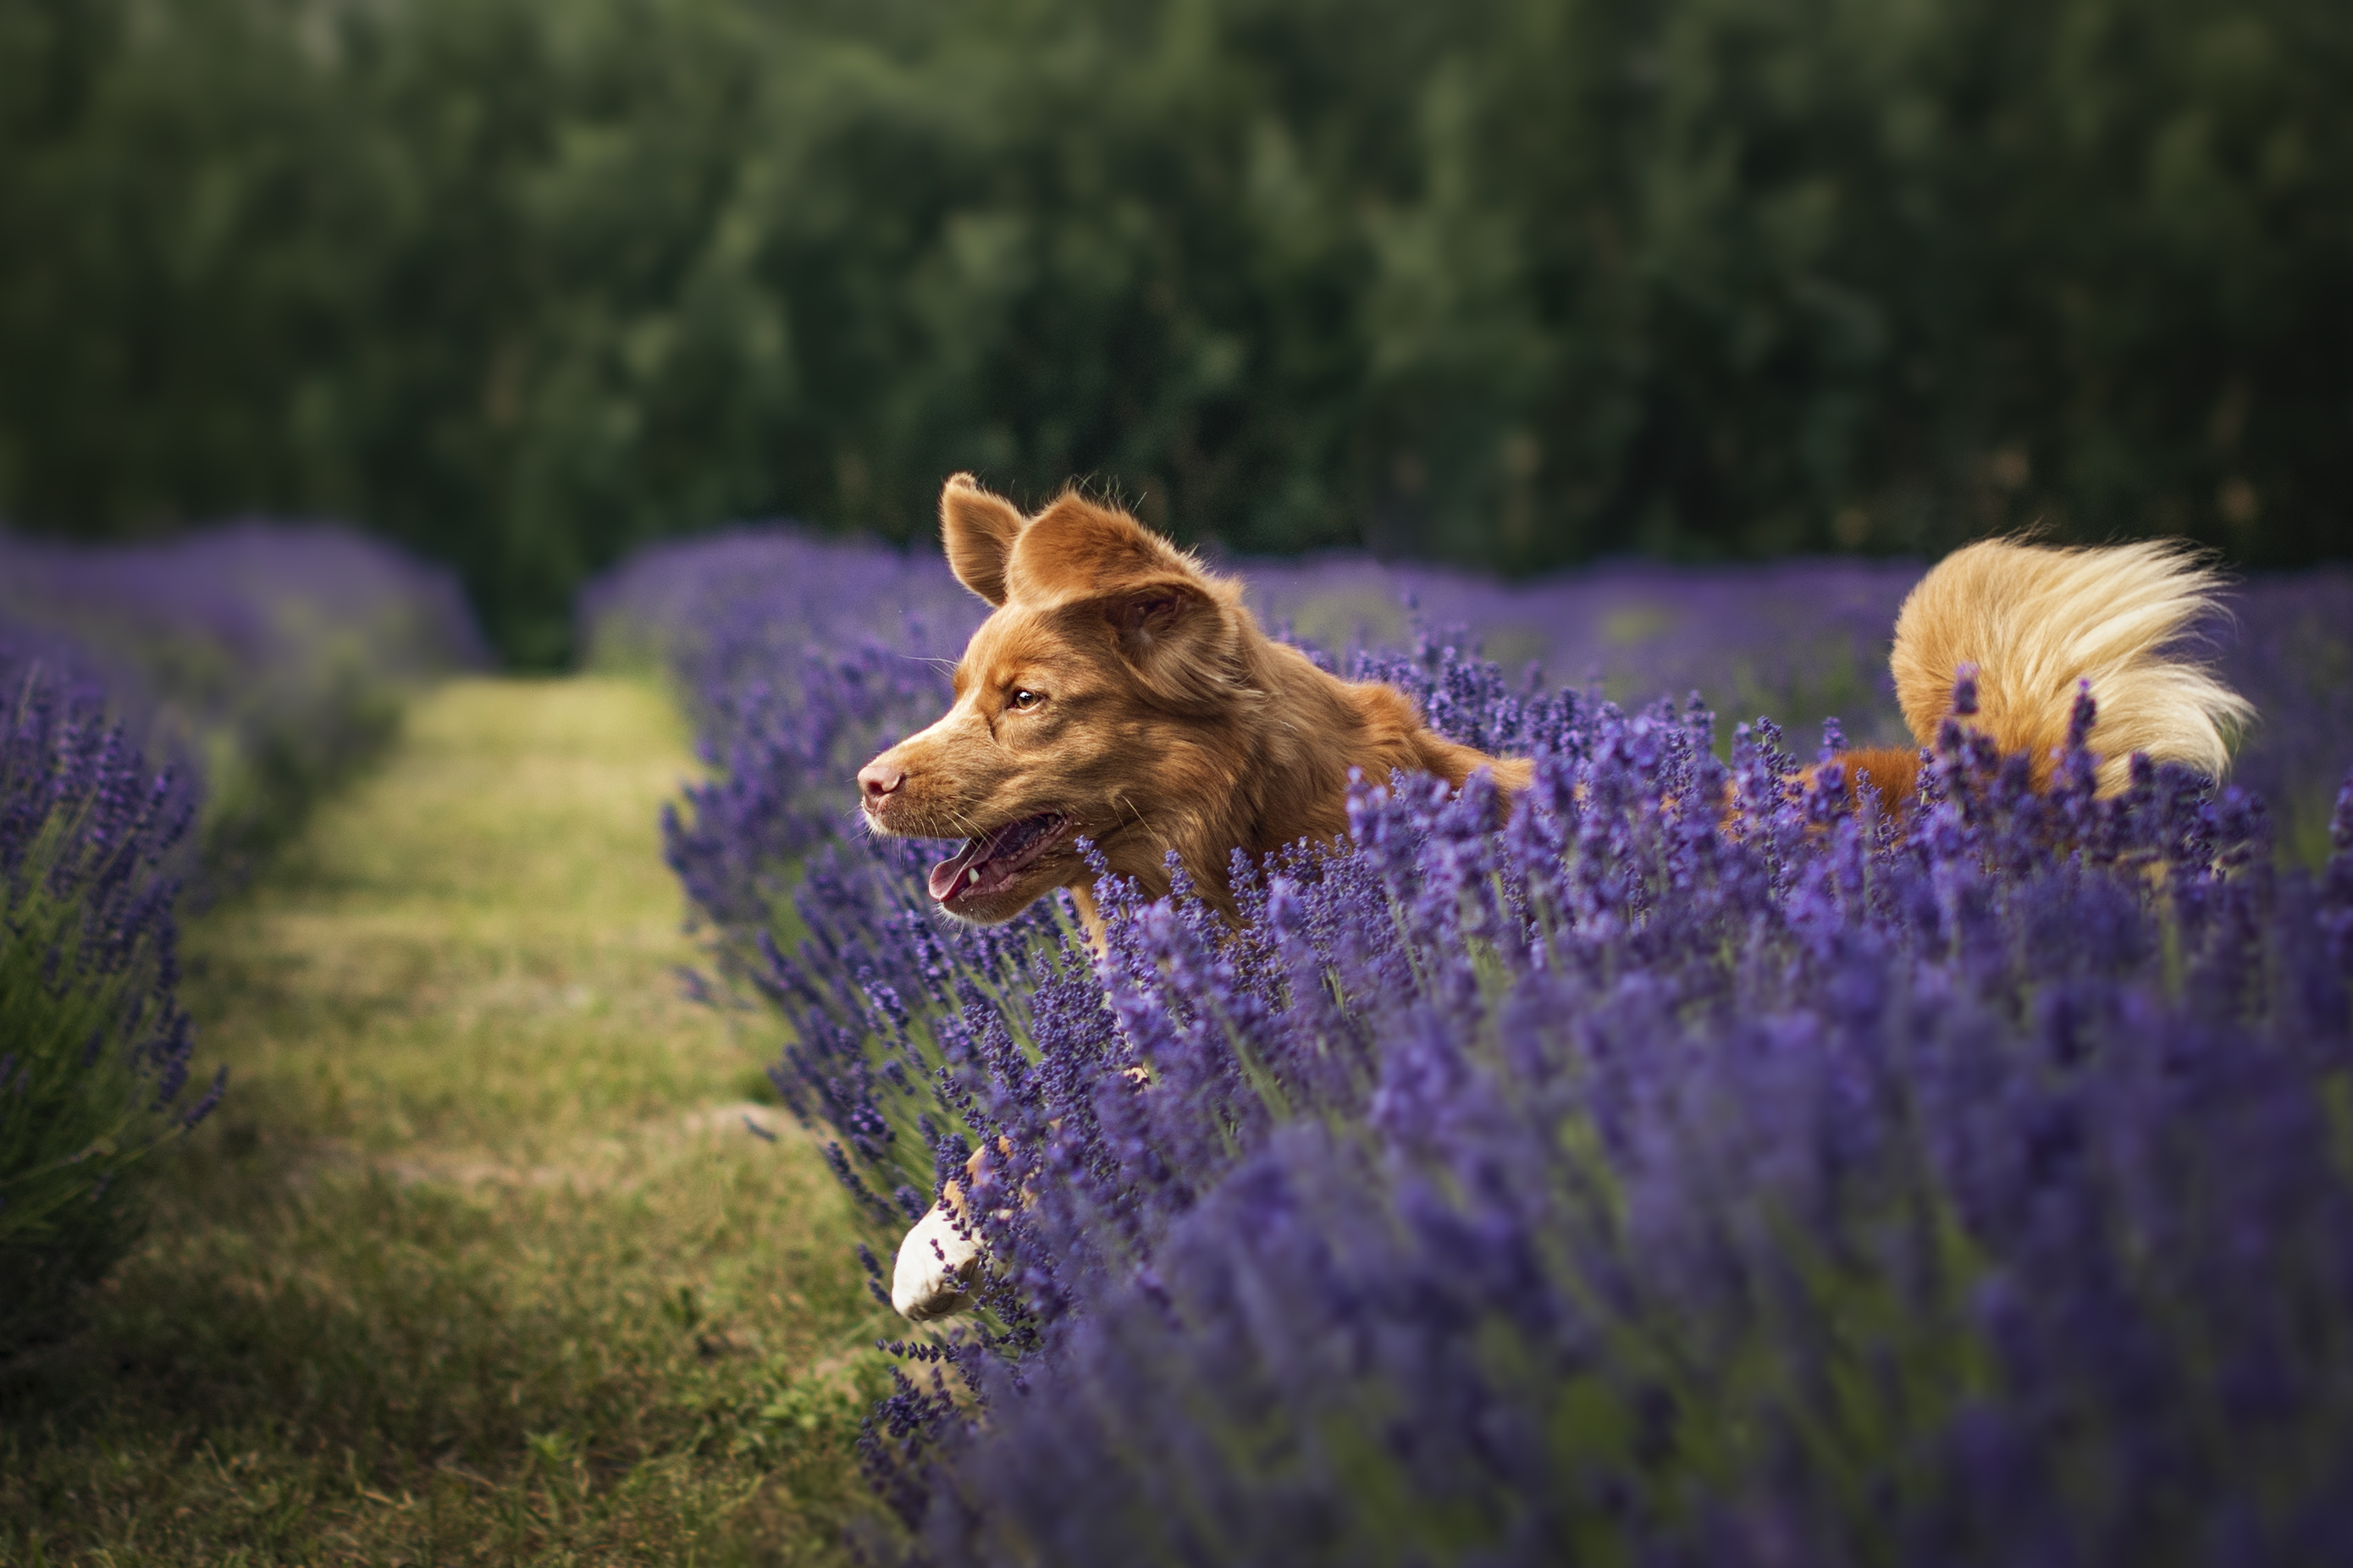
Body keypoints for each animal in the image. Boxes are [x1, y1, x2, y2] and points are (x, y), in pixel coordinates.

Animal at [861, 475, 2240, 1318]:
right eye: (961, 689)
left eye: (1026, 700)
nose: (868, 783)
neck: (1249, 832)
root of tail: (2023, 779)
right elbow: (1035, 1120)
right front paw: (940, 1238)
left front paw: (962, 1241)